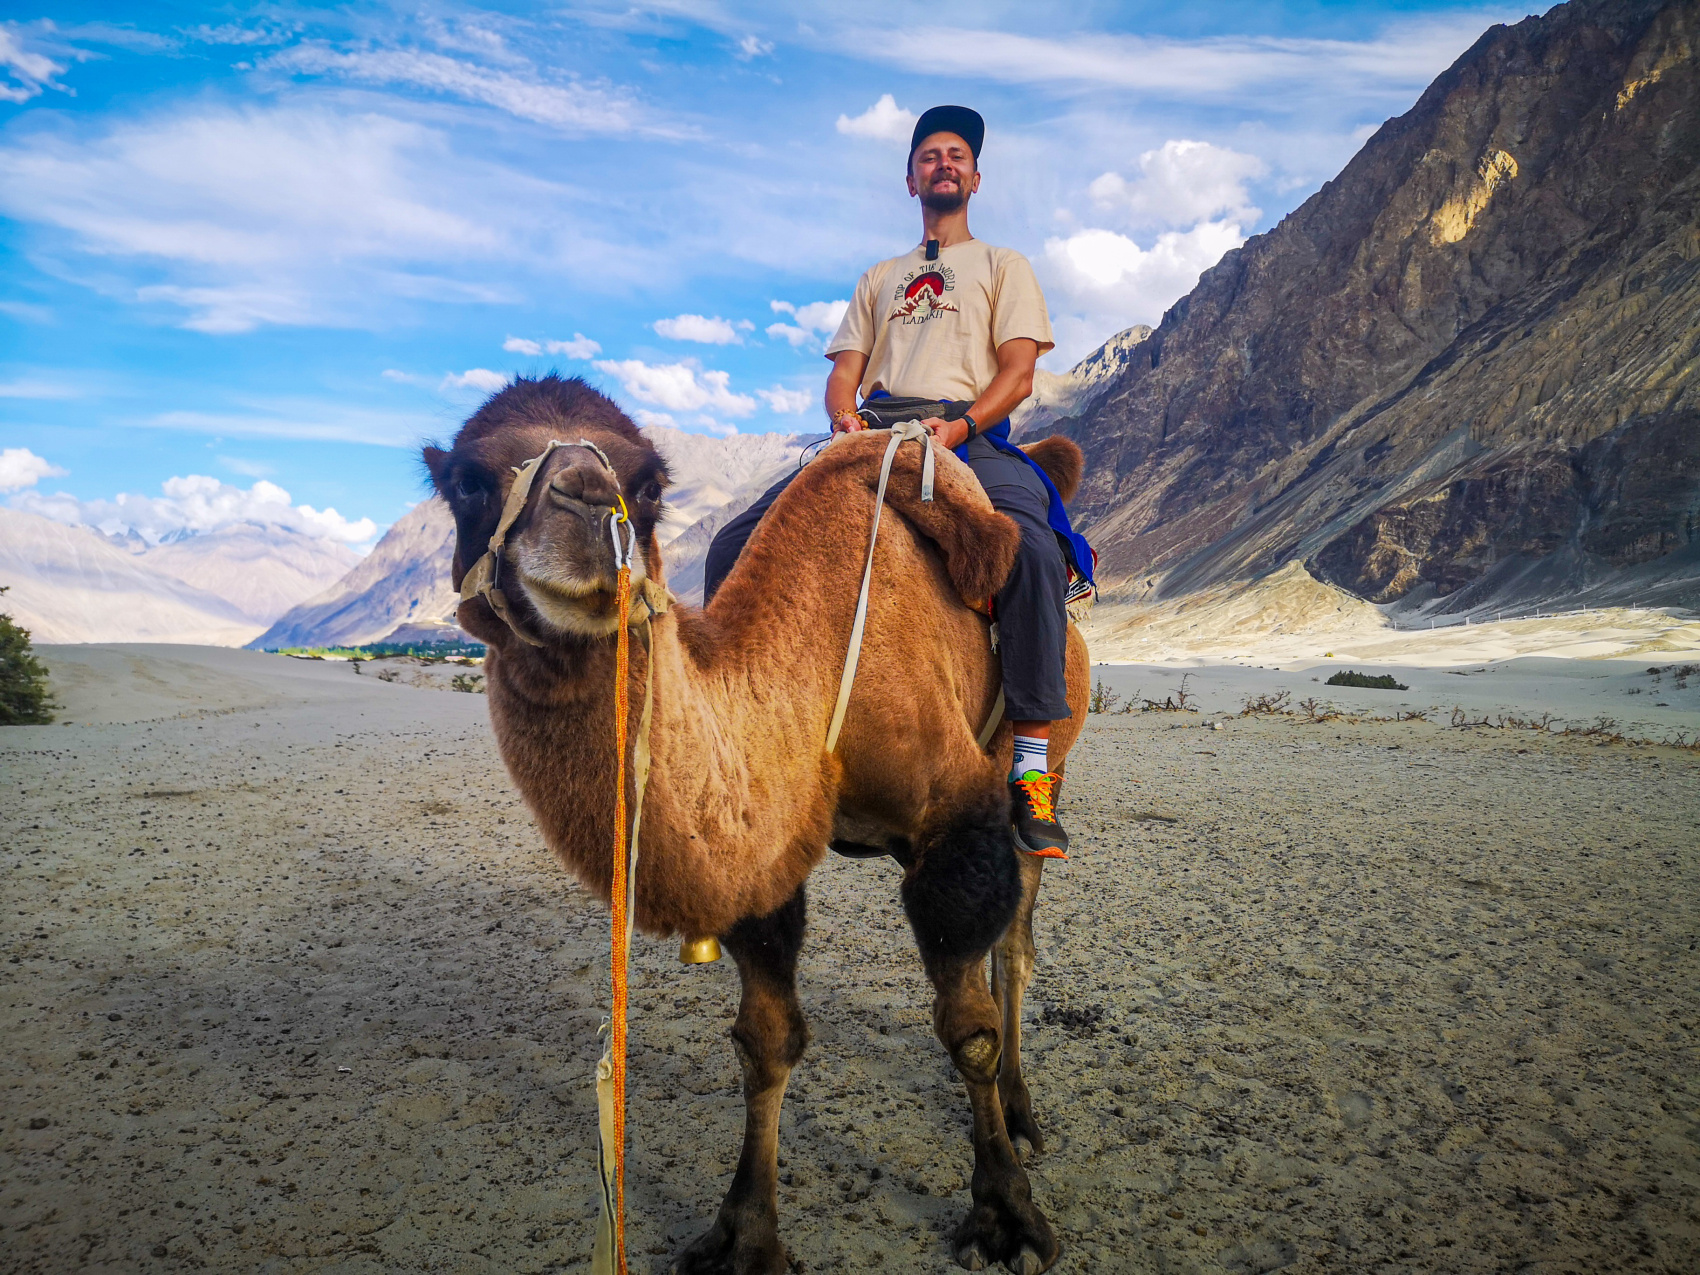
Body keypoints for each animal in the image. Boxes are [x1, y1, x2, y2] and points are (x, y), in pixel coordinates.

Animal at [425, 379, 1088, 1275]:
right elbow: (766, 1038)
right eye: (465, 480)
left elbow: (969, 1030)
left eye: (650, 484)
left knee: (1016, 936)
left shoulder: (957, 814)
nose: (590, 508)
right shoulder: (763, 855)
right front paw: (744, 1232)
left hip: (1045, 759)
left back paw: (1019, 1105)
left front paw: (1008, 1213)